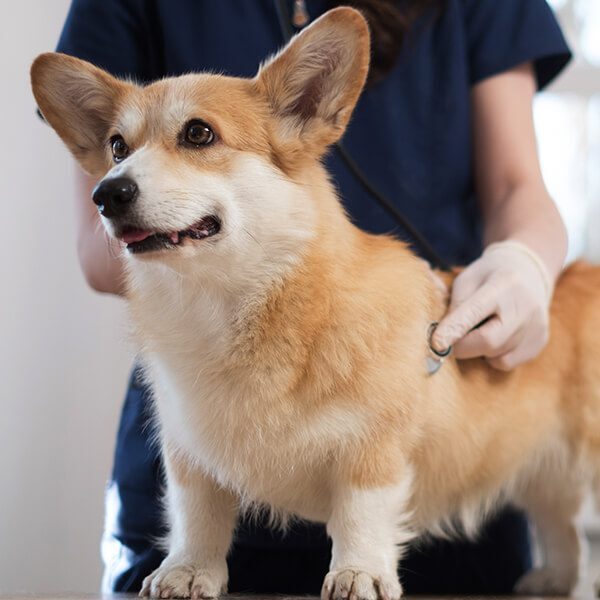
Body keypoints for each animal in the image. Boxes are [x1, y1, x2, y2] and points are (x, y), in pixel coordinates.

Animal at [31, 8, 600, 600]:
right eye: (118, 147)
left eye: (198, 133)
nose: (106, 195)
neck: (231, 304)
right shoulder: (189, 451)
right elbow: (197, 516)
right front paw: (186, 572)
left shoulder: (374, 448)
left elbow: (360, 514)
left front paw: (359, 574)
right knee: (562, 529)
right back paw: (553, 581)